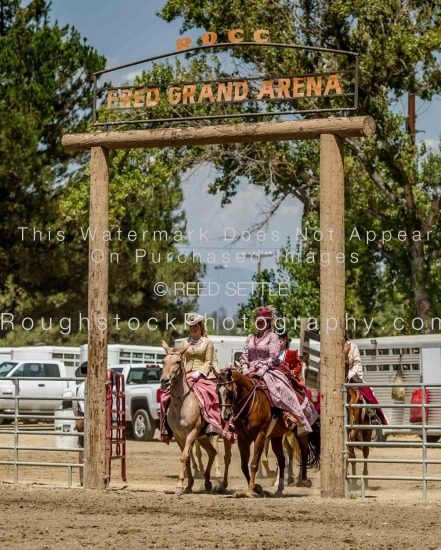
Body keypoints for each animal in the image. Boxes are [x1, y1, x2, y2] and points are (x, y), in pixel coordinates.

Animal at [160, 342, 232, 498]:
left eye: (177, 361)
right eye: (163, 361)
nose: (164, 380)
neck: (181, 403)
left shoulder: (191, 433)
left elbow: (185, 456)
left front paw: (179, 486)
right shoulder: (179, 436)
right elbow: (185, 457)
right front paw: (188, 485)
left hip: (223, 435)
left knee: (226, 456)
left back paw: (223, 484)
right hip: (203, 436)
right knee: (212, 452)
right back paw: (207, 482)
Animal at [216, 370, 316, 500]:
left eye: (230, 391)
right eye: (217, 391)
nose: (225, 416)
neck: (251, 404)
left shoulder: (260, 435)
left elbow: (254, 464)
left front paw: (250, 490)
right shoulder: (243, 439)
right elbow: (244, 466)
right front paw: (257, 488)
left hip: (300, 431)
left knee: (303, 453)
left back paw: (304, 480)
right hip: (276, 436)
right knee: (282, 459)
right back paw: (279, 488)